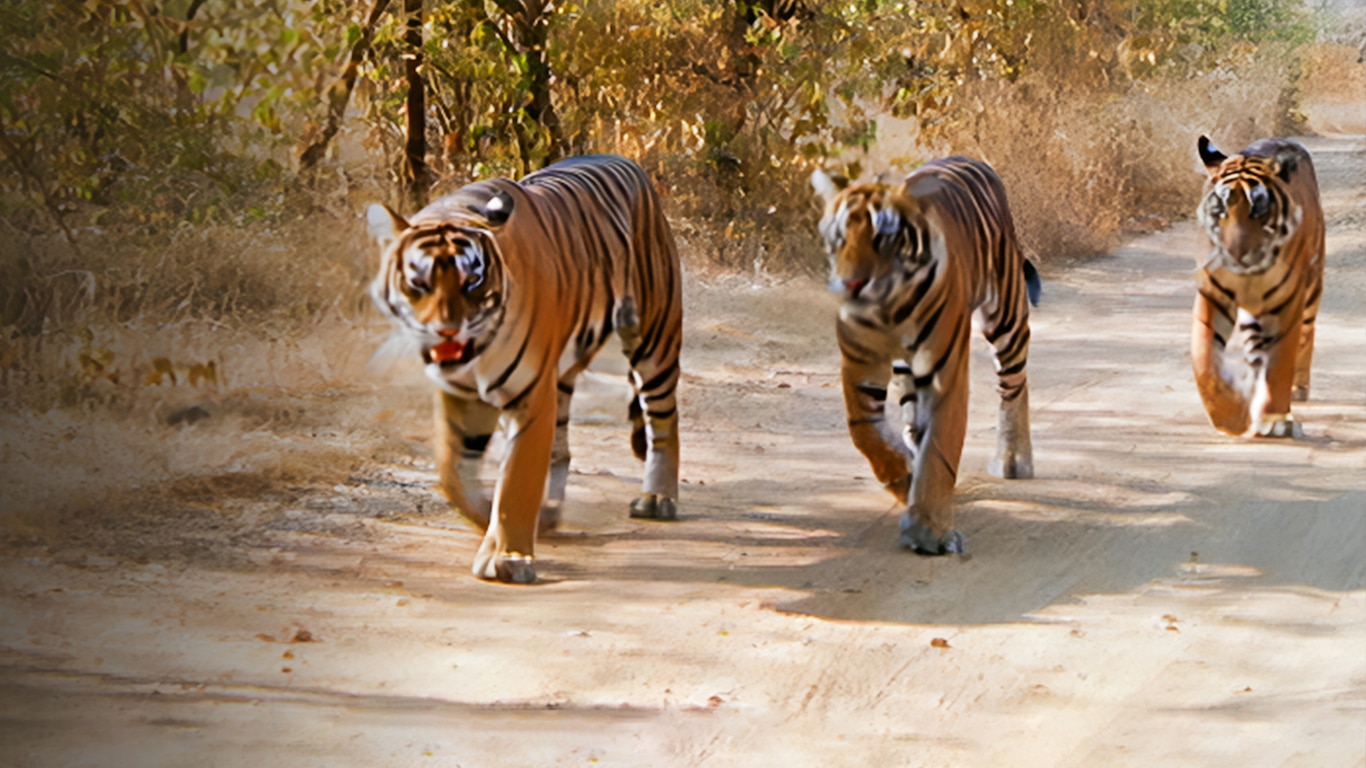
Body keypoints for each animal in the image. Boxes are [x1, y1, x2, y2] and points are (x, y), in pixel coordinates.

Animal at [366, 155, 684, 584]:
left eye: (472, 281)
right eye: (418, 281)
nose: (447, 331)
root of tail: (629, 163)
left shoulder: (530, 395)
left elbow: (517, 479)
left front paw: (509, 558)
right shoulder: (462, 393)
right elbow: (453, 473)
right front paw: (486, 516)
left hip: (654, 337)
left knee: (663, 419)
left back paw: (658, 498)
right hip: (564, 373)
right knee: (561, 448)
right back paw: (549, 513)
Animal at [811, 156, 1040, 555]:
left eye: (883, 238)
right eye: (838, 238)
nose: (853, 284)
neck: (889, 307)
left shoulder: (944, 368)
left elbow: (941, 446)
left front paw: (929, 532)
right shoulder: (860, 359)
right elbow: (864, 429)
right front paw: (902, 478)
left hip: (1006, 315)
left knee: (1014, 383)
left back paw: (1013, 460)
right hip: (907, 366)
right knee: (911, 415)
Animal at [1193, 136, 1325, 438]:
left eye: (1259, 210)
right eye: (1220, 211)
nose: (1235, 254)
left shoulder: (1288, 303)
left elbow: (1280, 363)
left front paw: (1274, 419)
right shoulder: (1211, 294)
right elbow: (1204, 359)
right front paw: (1230, 416)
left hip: (1311, 291)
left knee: (1306, 334)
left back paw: (1298, 387)